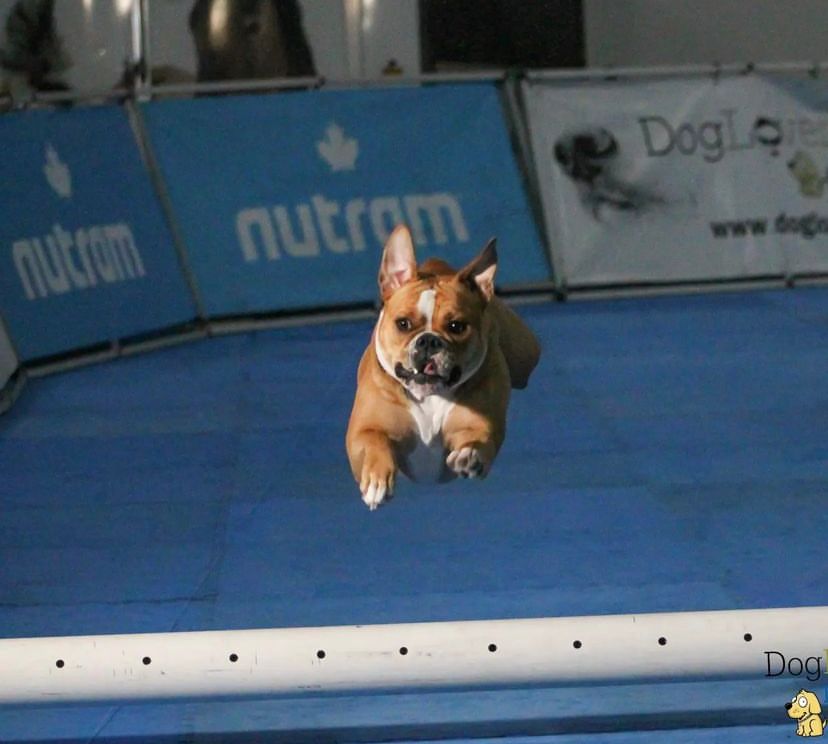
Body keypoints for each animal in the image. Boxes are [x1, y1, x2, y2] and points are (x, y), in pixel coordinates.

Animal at [346, 225, 540, 510]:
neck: (429, 395)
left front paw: (469, 457)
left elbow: (477, 440)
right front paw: (377, 480)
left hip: (525, 354)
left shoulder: (478, 426)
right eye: (403, 323)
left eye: (456, 326)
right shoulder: (365, 429)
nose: (428, 340)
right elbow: (374, 443)